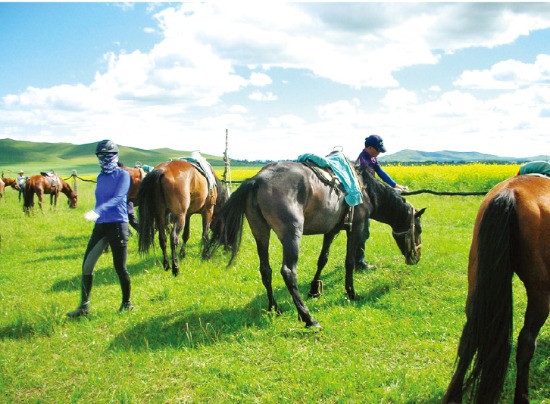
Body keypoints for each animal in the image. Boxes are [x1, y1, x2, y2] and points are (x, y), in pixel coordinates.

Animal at [205, 161, 430, 328]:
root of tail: (257, 180)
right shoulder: (356, 227)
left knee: (265, 270)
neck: (364, 189)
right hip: (292, 234)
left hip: (261, 233)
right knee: (288, 272)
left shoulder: (331, 230)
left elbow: (323, 259)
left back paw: (274, 308)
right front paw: (351, 293)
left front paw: (314, 289)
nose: (416, 257)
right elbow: (349, 262)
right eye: (418, 229)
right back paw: (308, 318)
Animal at [444, 174, 550, 404]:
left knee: (470, 334)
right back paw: (522, 397)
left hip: (477, 278)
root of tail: (511, 192)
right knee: (526, 341)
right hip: (540, 291)